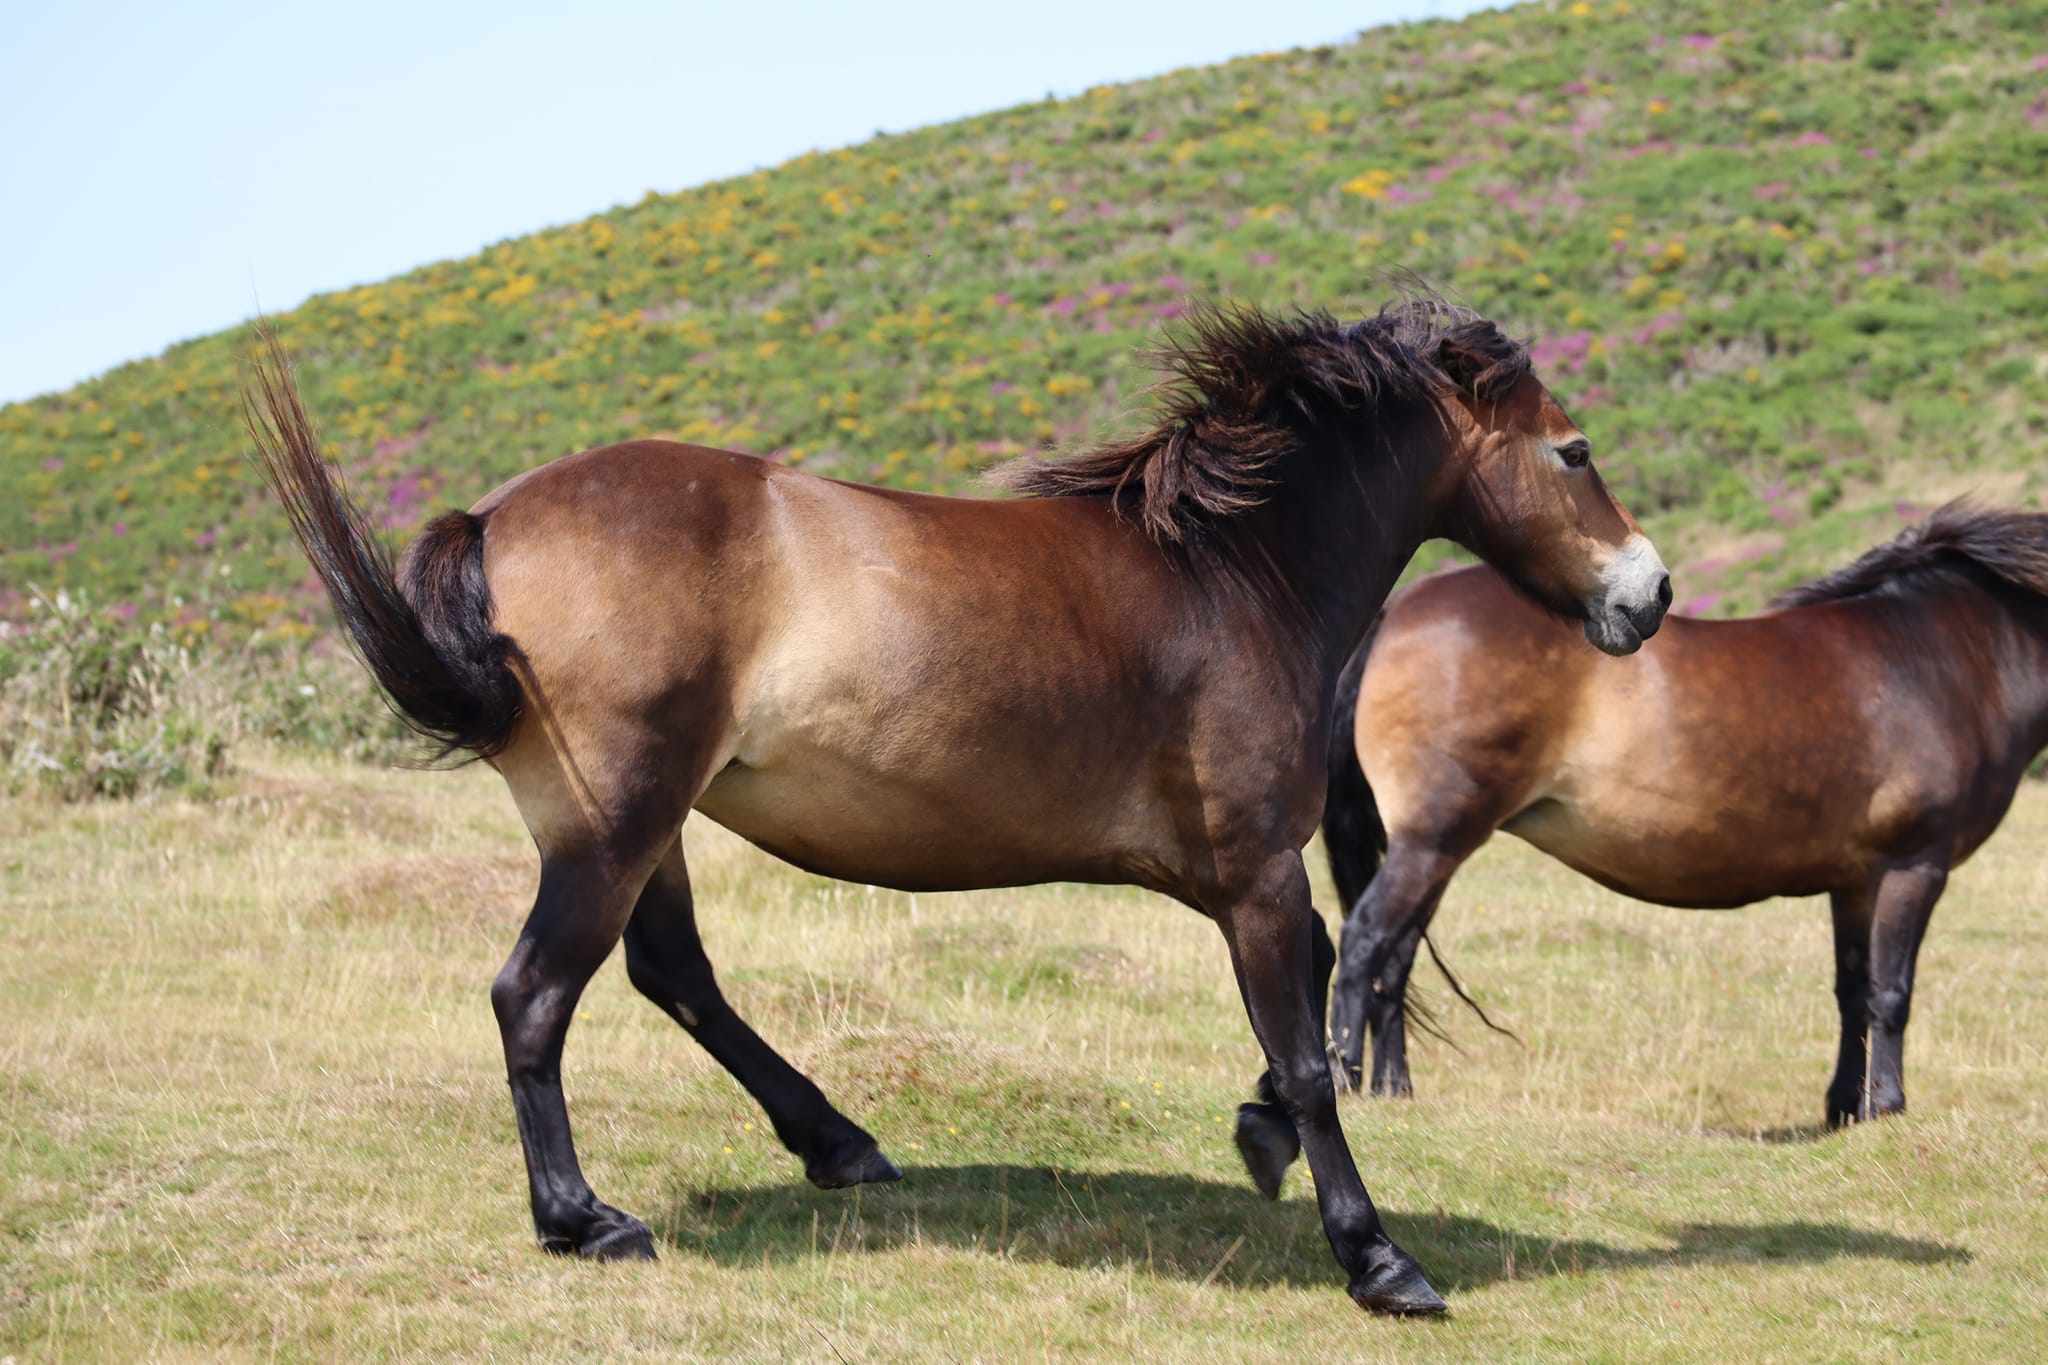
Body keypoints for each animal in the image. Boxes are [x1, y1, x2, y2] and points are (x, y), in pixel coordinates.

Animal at [246, 293, 1670, 1317]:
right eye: (1573, 451)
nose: (1646, 593)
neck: (1226, 573)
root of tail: (494, 521)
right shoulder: (1254, 869)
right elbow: (1316, 1053)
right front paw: (1377, 1262)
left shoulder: (1239, 877)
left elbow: (1307, 1003)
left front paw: (1258, 1133)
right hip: (613, 826)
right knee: (535, 996)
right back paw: (584, 1219)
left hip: (642, 831)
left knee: (671, 977)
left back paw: (834, 1144)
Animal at [1319, 503, 2048, 1129]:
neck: (1941, 657)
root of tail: (1397, 611)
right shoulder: (1913, 866)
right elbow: (1892, 992)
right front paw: (1888, 1104)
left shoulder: (1856, 881)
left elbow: (1853, 991)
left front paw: (1845, 1106)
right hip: (1432, 839)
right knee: (1363, 940)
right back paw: (1348, 1080)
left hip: (1436, 848)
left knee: (1395, 958)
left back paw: (1394, 1086)